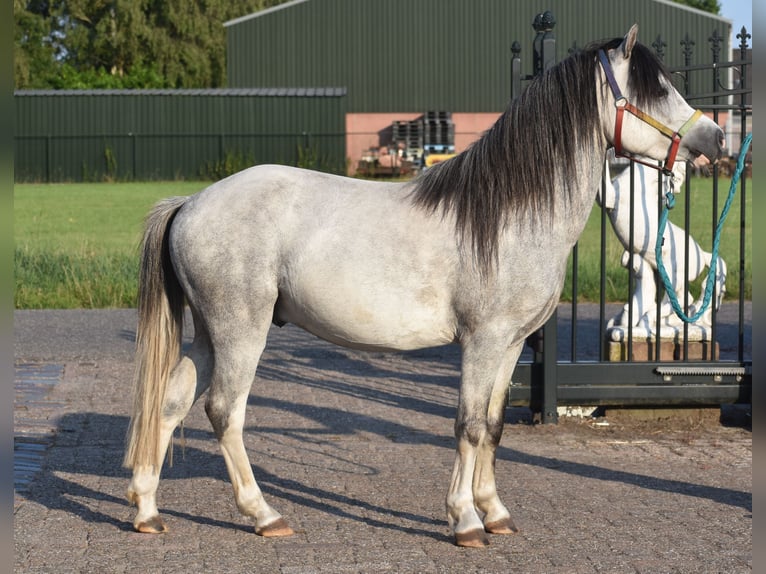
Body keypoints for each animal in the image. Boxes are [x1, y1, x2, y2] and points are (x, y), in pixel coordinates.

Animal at [124, 25, 724, 548]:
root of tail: (190, 204)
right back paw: (264, 514)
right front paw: (465, 522)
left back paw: (147, 511)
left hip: (210, 334)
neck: (509, 216)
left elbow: (493, 425)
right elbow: (468, 425)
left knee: (172, 402)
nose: (716, 137)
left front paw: (495, 512)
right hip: (240, 332)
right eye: (658, 88)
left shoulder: (510, 346)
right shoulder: (482, 342)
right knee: (225, 411)